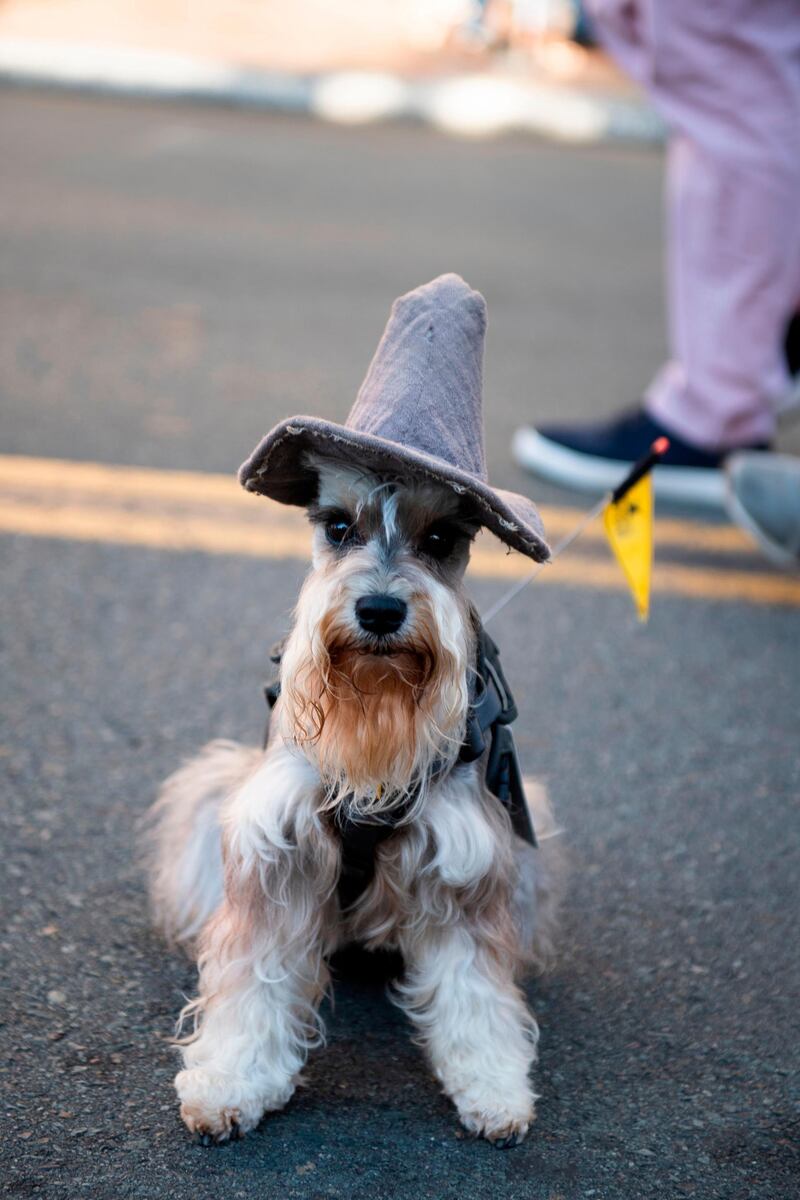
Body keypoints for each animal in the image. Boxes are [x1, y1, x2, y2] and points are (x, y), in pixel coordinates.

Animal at [142, 276, 563, 1147]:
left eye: (440, 539)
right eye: (338, 526)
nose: (377, 610)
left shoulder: (467, 868)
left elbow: (476, 992)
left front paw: (494, 1088)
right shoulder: (274, 853)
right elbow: (254, 982)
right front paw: (230, 1081)